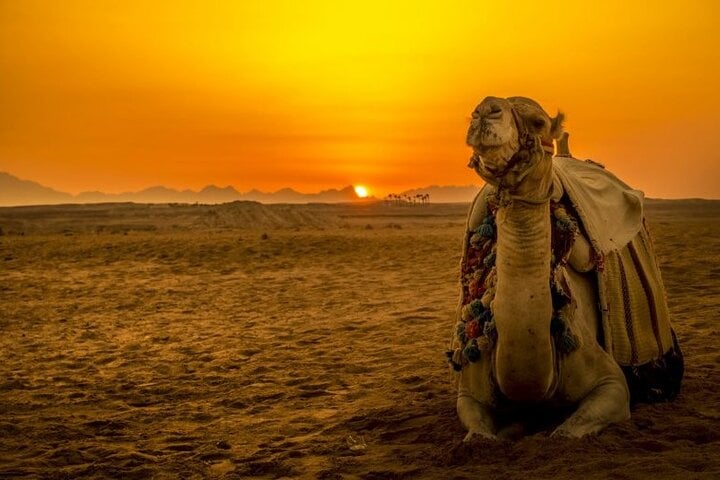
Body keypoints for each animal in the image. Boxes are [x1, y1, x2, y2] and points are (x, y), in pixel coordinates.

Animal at [449, 96, 683, 440]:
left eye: (538, 122)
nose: (485, 110)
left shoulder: (611, 384)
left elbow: (564, 434)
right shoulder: (469, 393)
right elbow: (478, 436)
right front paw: (508, 430)